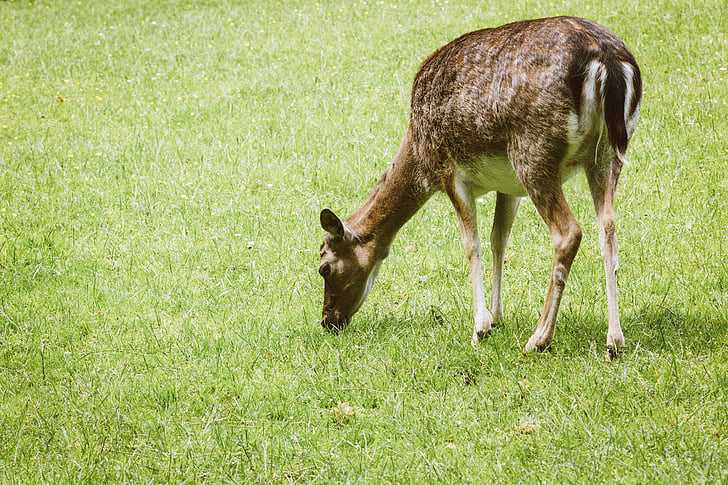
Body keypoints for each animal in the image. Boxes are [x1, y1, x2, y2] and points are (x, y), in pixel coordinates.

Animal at [318, 16, 644, 356]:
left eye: (324, 268)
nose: (327, 320)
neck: (418, 152)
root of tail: (608, 62)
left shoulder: (449, 171)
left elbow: (471, 244)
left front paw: (481, 327)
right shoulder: (509, 187)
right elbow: (498, 238)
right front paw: (497, 316)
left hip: (534, 153)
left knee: (568, 232)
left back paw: (539, 338)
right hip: (607, 154)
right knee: (608, 226)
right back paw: (614, 340)